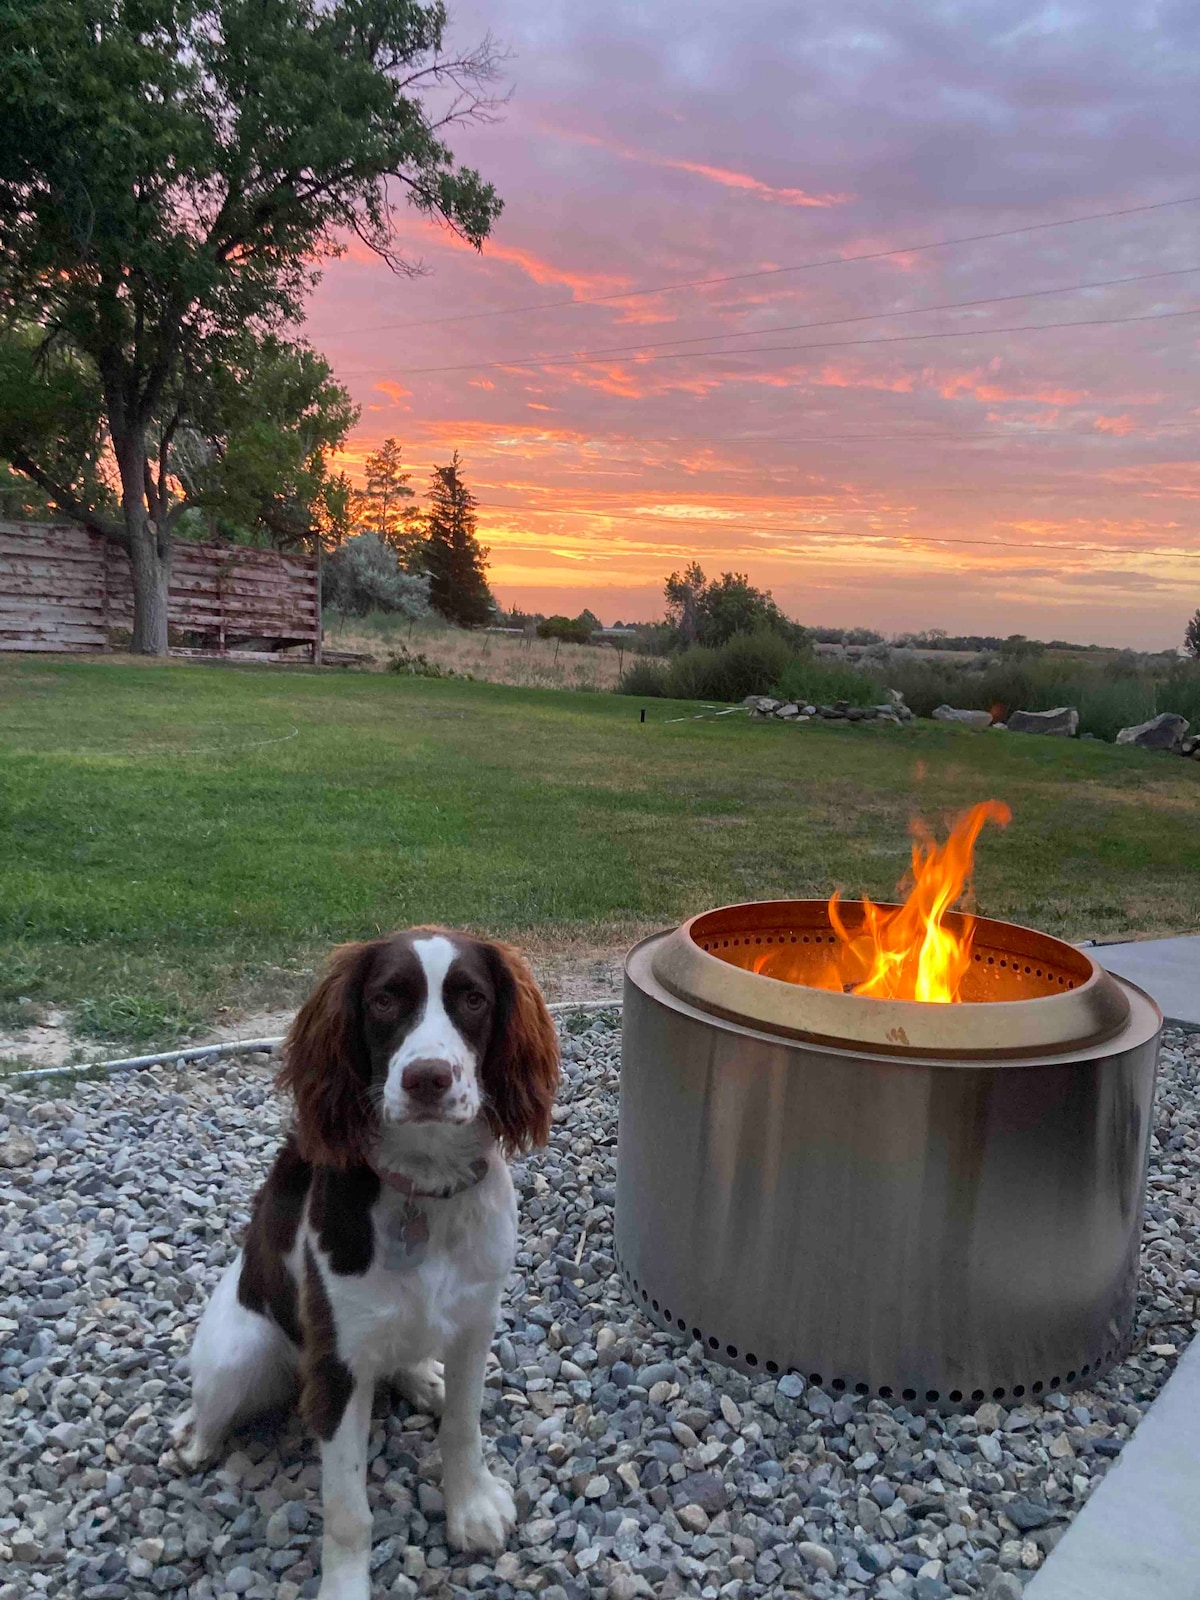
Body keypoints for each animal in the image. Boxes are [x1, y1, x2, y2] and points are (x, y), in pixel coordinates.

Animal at [171, 934, 563, 1593]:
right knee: (209, 1409)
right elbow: (348, 1508)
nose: (428, 1078)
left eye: (474, 999)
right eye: (383, 999)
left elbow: (463, 1426)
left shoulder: (476, 1322)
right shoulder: (337, 1364)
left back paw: (422, 1378)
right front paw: (345, 1587)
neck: (423, 1191)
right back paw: (195, 1445)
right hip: (239, 1353)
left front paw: (471, 1508)